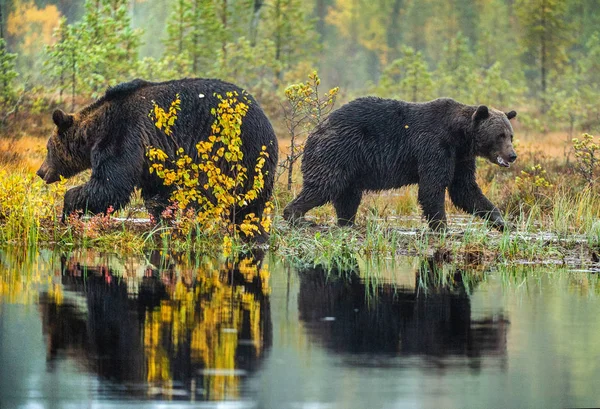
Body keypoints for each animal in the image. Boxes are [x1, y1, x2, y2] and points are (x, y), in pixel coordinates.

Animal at [37, 79, 278, 226]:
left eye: (48, 148)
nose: (41, 172)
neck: (96, 129)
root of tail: (269, 124)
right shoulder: (153, 155)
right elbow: (157, 191)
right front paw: (161, 217)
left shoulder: (124, 135)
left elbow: (111, 184)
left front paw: (68, 208)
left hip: (238, 152)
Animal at [284, 95, 516, 230]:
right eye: (500, 135)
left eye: (510, 135)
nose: (512, 155)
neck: (460, 136)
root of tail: (315, 129)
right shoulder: (434, 147)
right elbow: (432, 187)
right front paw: (442, 227)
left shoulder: (460, 158)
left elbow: (465, 190)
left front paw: (502, 222)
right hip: (337, 151)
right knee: (323, 185)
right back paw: (297, 216)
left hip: (352, 165)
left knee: (348, 196)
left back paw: (347, 222)